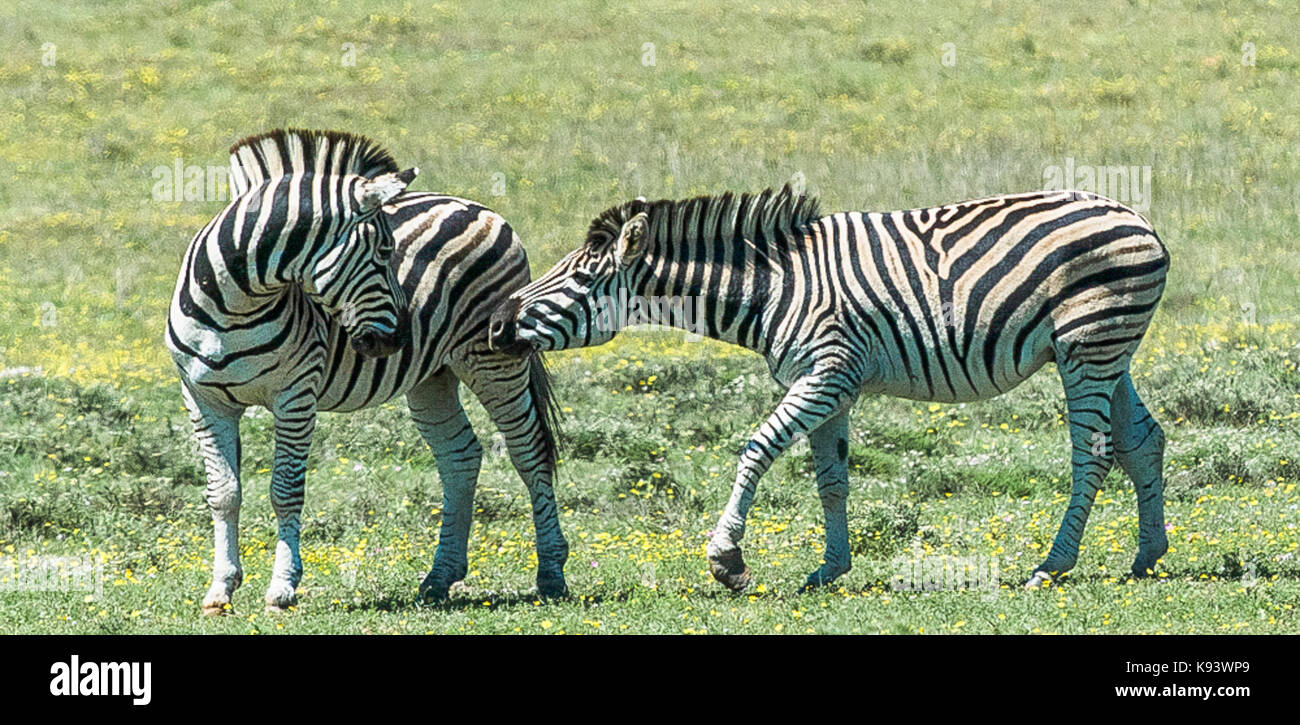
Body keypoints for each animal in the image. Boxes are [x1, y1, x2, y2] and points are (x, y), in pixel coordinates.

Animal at [165, 130, 566, 613]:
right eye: (383, 253)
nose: (398, 338)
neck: (234, 305)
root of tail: (478, 206)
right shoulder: (202, 399)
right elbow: (223, 493)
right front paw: (220, 589)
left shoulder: (295, 396)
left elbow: (285, 490)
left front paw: (282, 587)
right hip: (433, 375)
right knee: (460, 456)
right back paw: (440, 576)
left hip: (493, 361)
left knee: (530, 452)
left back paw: (551, 573)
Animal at [491, 184, 1175, 595]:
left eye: (579, 280)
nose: (497, 324)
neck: (774, 286)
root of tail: (1140, 219)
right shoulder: (831, 385)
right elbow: (832, 479)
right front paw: (830, 567)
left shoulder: (826, 372)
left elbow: (755, 449)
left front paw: (727, 560)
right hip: (1104, 349)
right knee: (1143, 440)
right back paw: (1146, 555)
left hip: (1087, 346)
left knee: (1093, 454)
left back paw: (1052, 566)